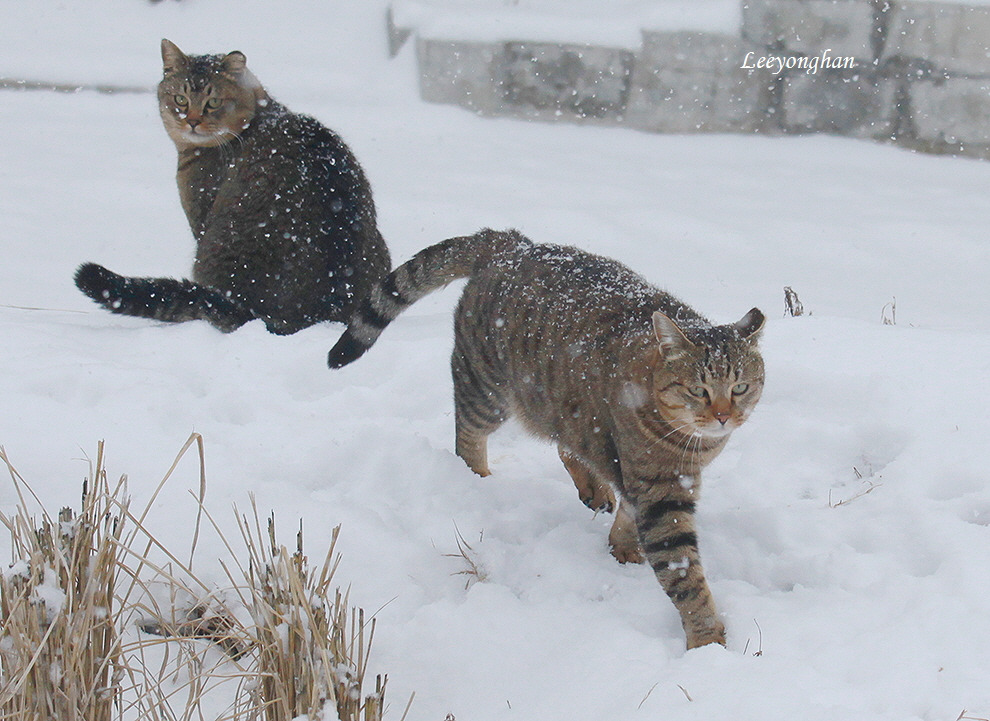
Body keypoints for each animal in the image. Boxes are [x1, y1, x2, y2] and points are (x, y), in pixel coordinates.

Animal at [332, 229, 768, 648]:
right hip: (487, 392)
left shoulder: (655, 478)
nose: (724, 416)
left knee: (568, 444)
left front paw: (621, 544)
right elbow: (683, 573)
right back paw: (478, 480)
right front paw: (707, 639)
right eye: (698, 390)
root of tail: (510, 242)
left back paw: (593, 489)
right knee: (467, 438)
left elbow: (628, 515)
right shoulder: (660, 490)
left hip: (556, 407)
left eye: (741, 387)